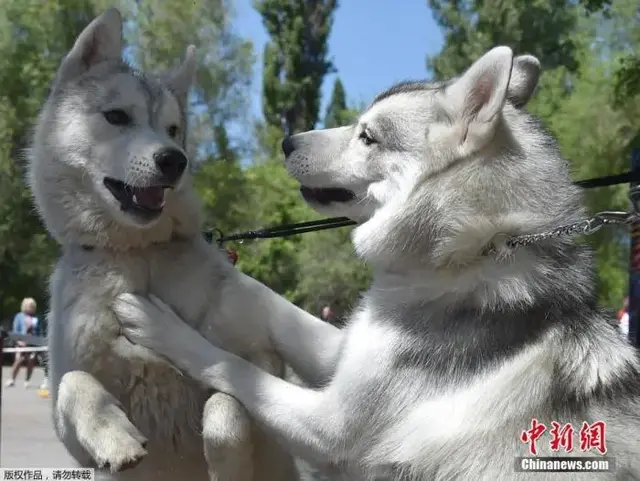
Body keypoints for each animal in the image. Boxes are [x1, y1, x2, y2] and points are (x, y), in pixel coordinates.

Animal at [25, 7, 304, 480]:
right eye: (117, 116)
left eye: (173, 130)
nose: (175, 160)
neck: (138, 254)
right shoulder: (70, 434)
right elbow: (72, 384)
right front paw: (114, 438)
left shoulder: (262, 371)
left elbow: (226, 406)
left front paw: (224, 462)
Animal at [115, 46, 640, 480]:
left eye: (367, 136)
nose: (287, 142)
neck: (473, 251)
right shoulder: (341, 348)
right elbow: (271, 304)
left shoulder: (329, 427)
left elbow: (232, 366)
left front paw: (157, 325)